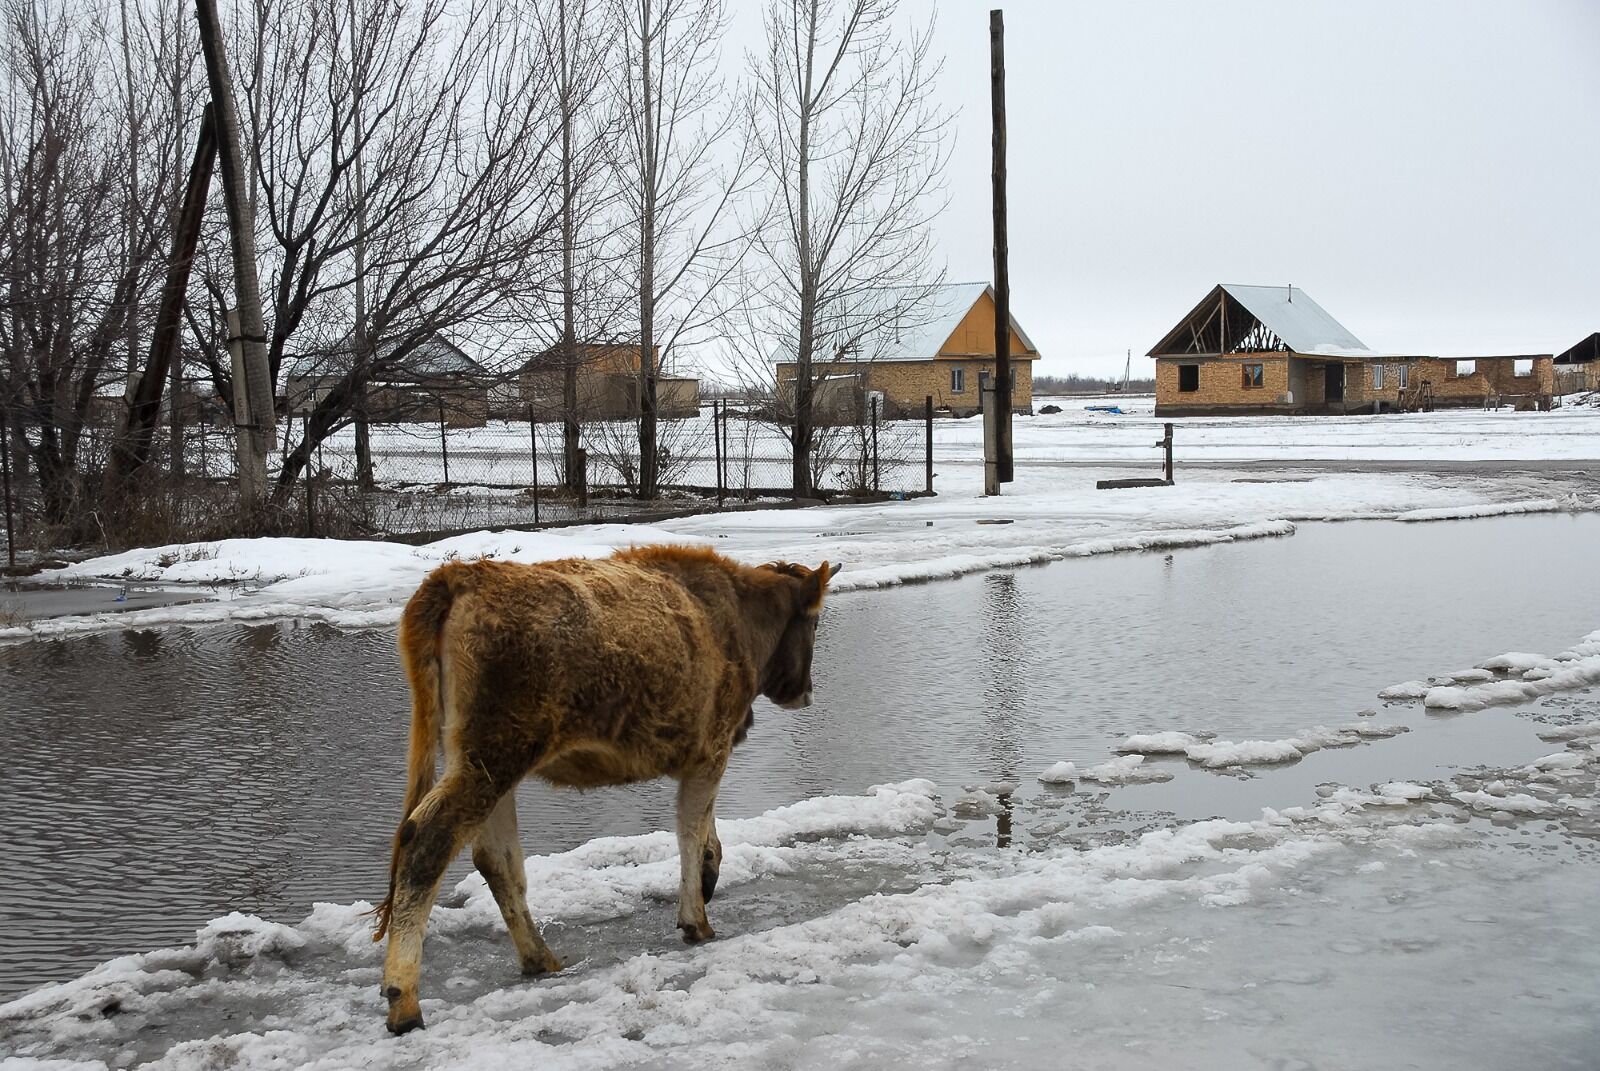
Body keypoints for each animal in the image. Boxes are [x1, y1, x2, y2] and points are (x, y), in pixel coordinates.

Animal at [371, 547, 838, 1030]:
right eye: (815, 623)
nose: (805, 692)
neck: (737, 615)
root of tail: (459, 575)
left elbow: (708, 833)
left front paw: (708, 882)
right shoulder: (711, 748)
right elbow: (691, 830)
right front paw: (696, 919)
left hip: (482, 764)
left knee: (495, 858)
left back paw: (540, 958)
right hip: (493, 757)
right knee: (427, 841)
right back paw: (404, 1000)